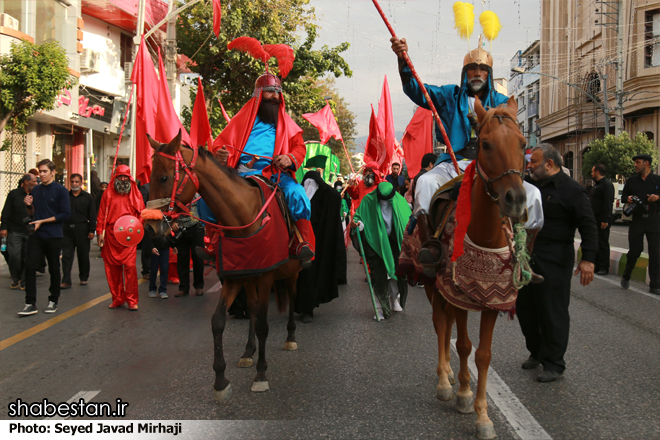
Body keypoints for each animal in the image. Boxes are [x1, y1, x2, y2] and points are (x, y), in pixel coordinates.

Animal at [144, 133, 302, 402]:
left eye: (163, 177)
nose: (151, 227)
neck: (242, 214)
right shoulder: (234, 276)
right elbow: (218, 321)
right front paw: (220, 380)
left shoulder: (267, 276)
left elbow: (263, 325)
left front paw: (261, 375)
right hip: (249, 277)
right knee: (251, 307)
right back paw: (248, 352)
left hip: (291, 272)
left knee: (291, 297)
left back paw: (290, 337)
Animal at [426, 96, 528, 440]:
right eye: (485, 144)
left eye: (523, 143)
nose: (516, 200)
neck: (483, 234)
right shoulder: (457, 295)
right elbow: (463, 345)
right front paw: (463, 395)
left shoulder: (491, 302)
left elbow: (482, 355)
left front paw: (483, 417)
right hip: (432, 284)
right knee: (440, 325)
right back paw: (444, 381)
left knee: (445, 328)